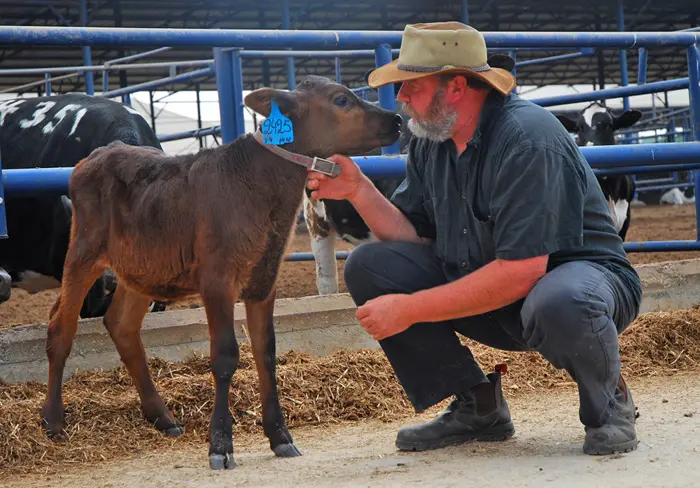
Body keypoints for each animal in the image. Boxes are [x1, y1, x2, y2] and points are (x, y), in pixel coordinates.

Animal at [41, 75, 402, 468]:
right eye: (340, 99)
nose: (397, 119)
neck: (261, 189)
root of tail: (101, 153)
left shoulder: (264, 277)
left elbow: (266, 352)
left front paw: (281, 437)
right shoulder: (216, 279)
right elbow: (225, 356)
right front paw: (220, 444)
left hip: (141, 266)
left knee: (121, 325)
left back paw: (162, 417)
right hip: (84, 251)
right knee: (61, 326)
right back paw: (53, 420)